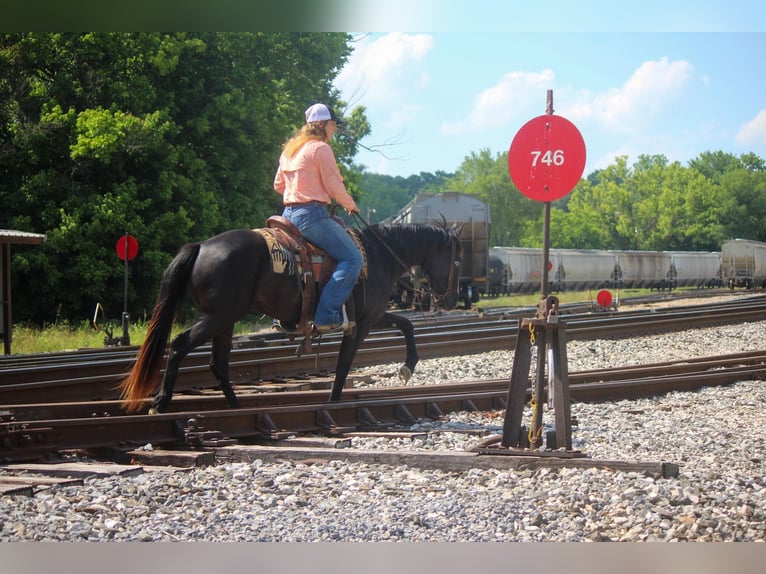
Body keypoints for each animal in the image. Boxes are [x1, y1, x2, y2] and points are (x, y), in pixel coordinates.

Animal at [119, 222, 462, 414]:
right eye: (457, 259)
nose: (452, 298)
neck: (378, 256)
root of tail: (201, 247)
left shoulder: (372, 317)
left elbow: (405, 324)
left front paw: (407, 367)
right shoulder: (362, 323)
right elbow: (343, 365)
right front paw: (335, 402)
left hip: (224, 321)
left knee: (218, 364)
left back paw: (235, 409)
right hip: (218, 317)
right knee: (180, 345)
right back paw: (162, 402)